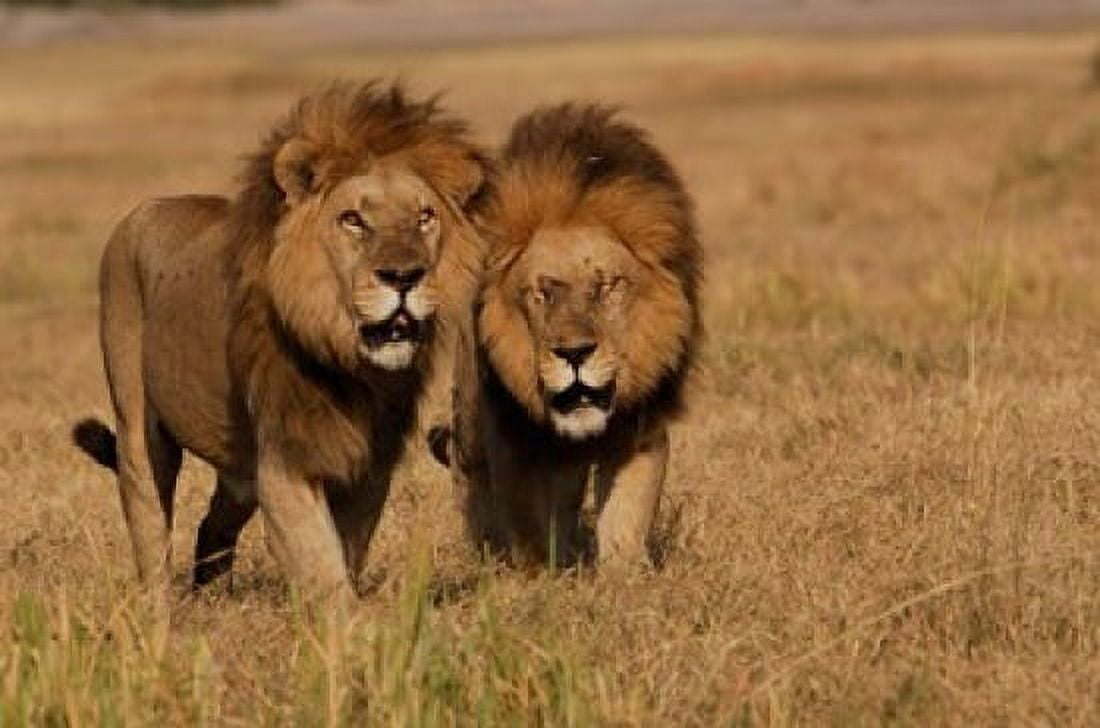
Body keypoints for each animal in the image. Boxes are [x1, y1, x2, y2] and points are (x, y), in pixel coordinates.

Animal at [72, 82, 488, 601]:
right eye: (353, 219)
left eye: (426, 216)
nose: (404, 276)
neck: (352, 365)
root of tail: (146, 208)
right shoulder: (286, 462)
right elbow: (322, 567)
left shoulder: (369, 466)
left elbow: (346, 554)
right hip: (139, 429)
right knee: (150, 523)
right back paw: (159, 607)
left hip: (238, 468)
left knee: (212, 527)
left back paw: (215, 600)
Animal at [431, 104, 701, 568]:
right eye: (541, 293)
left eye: (608, 286)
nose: (574, 354)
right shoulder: (512, 436)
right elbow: (526, 521)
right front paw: (539, 575)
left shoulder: (640, 426)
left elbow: (628, 513)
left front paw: (626, 573)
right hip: (467, 418)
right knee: (470, 477)